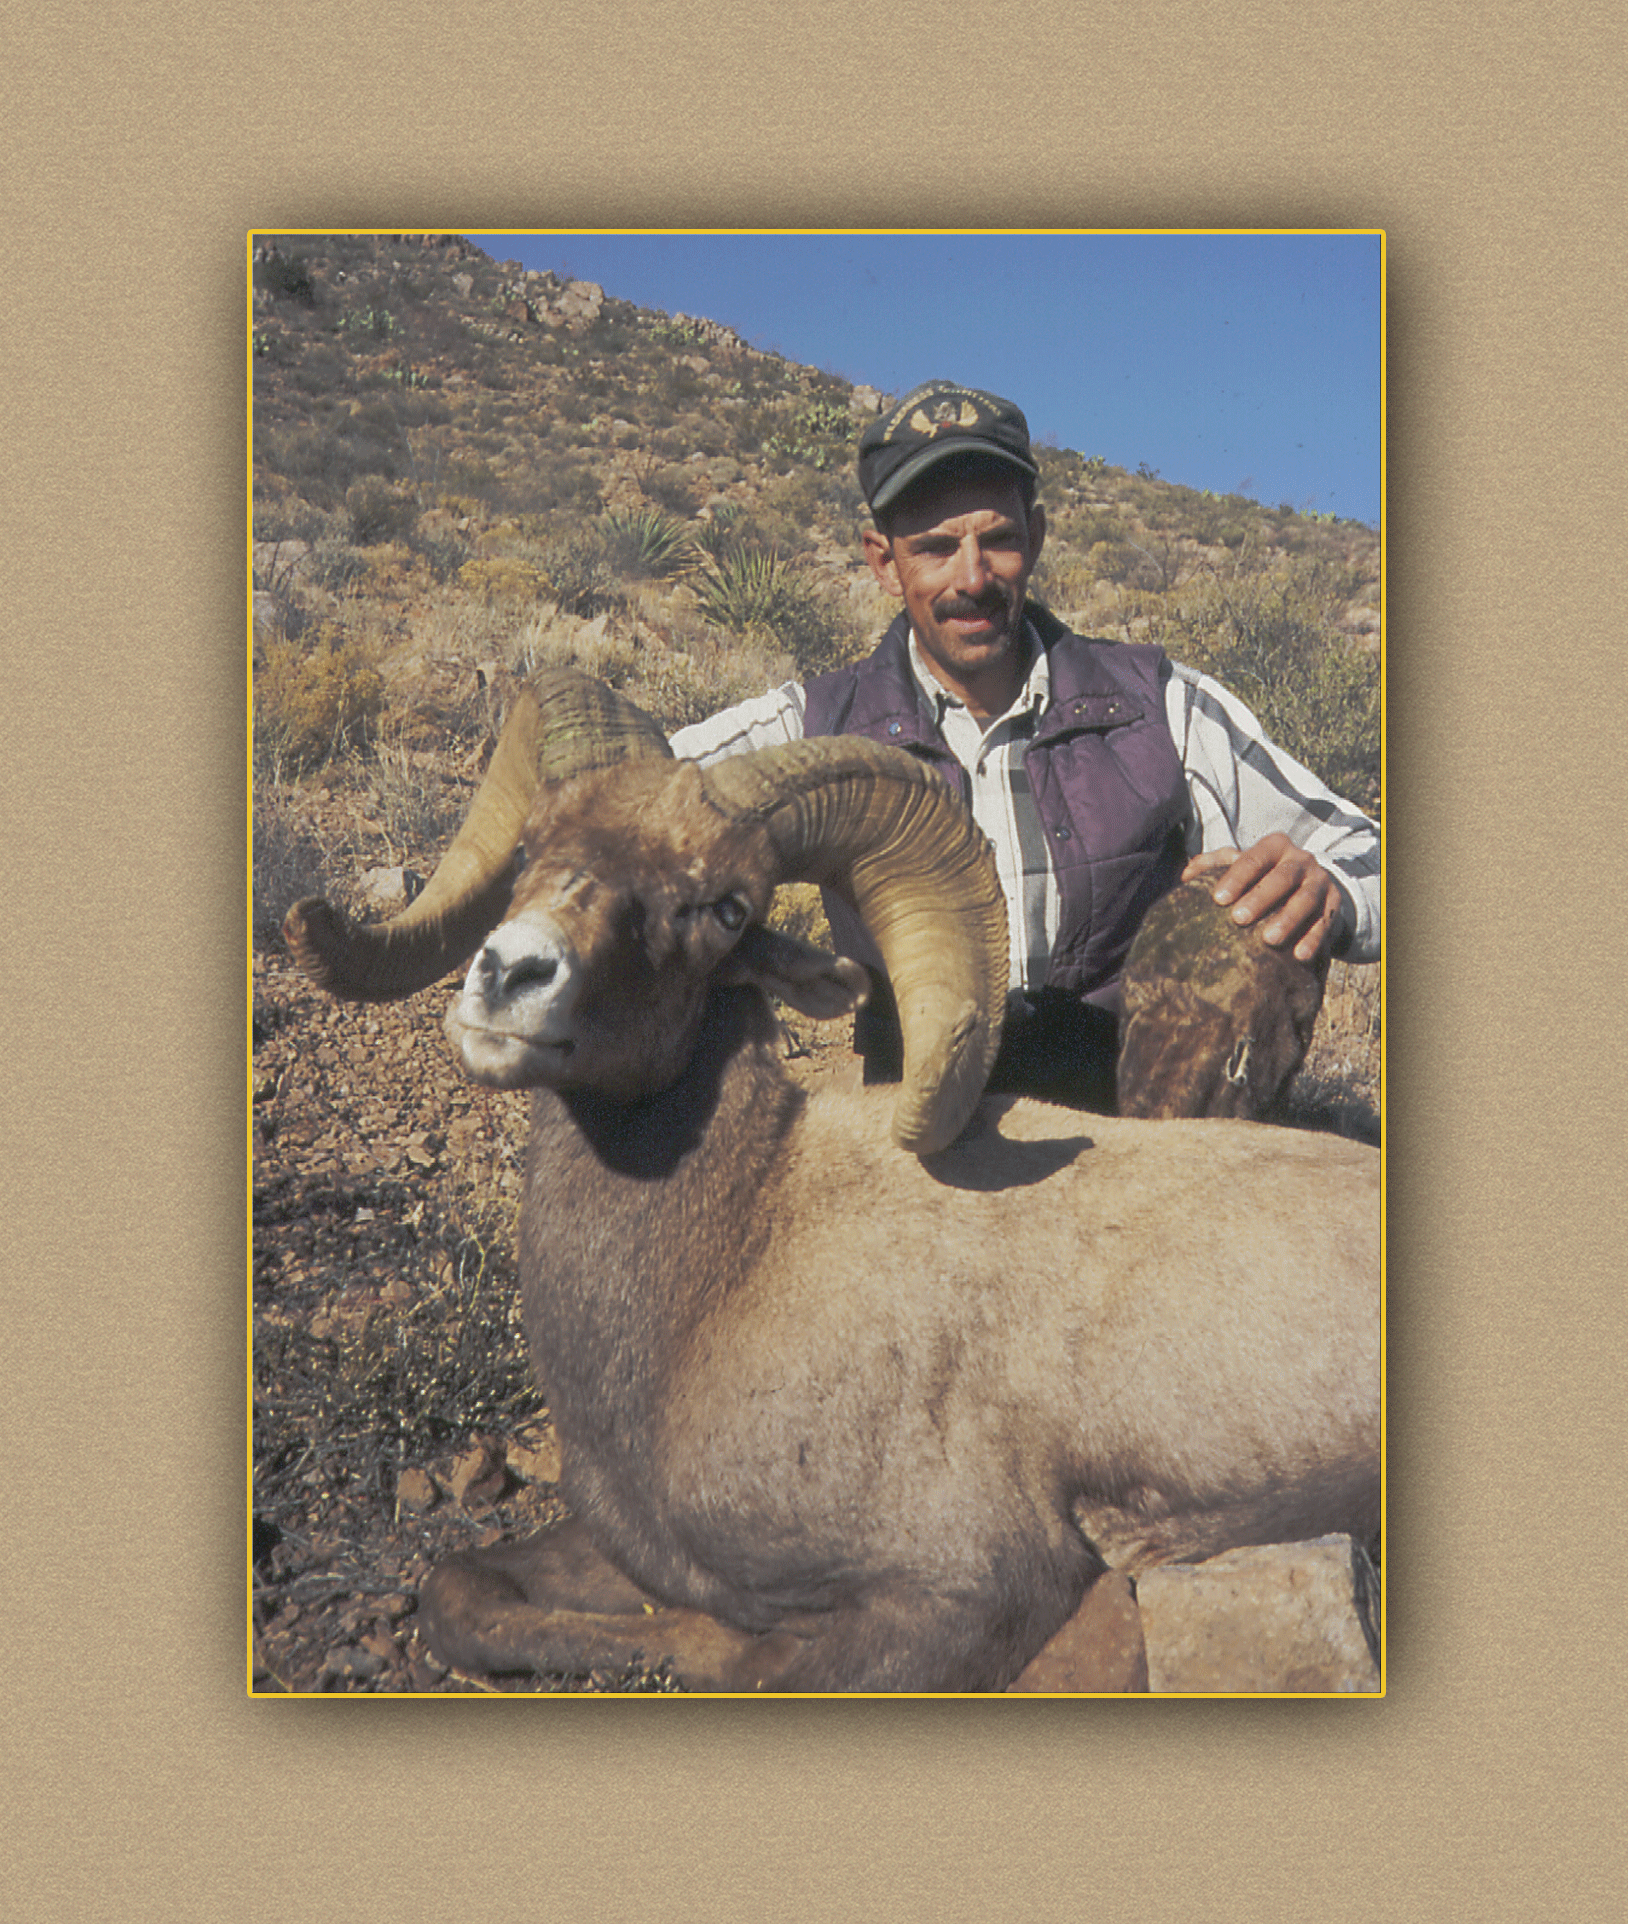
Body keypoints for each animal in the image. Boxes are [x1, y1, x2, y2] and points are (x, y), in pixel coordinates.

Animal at [284, 668, 1381, 1693]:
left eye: (725, 908)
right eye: (530, 851)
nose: (508, 977)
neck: (732, 1262)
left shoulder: (967, 1592)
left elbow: (748, 1662)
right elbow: (457, 1594)